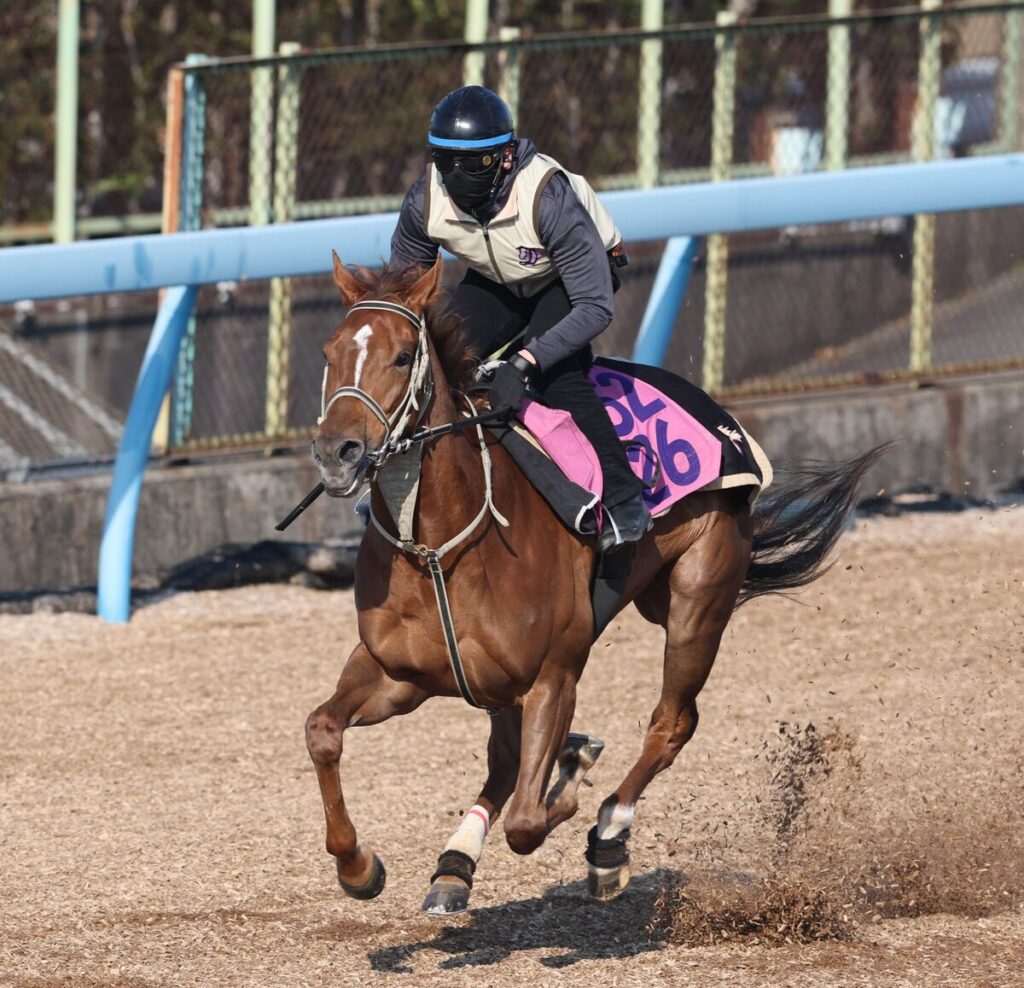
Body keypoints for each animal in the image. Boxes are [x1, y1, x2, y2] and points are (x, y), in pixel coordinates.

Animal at [303, 252, 883, 914]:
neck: (438, 549)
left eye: (402, 357)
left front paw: (578, 774)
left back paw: (608, 835)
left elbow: (529, 820)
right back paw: (455, 865)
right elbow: (322, 731)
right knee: (506, 759)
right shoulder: (399, 673)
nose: (338, 452)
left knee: (671, 724)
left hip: (696, 601)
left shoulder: (553, 676)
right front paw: (357, 865)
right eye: (328, 352)